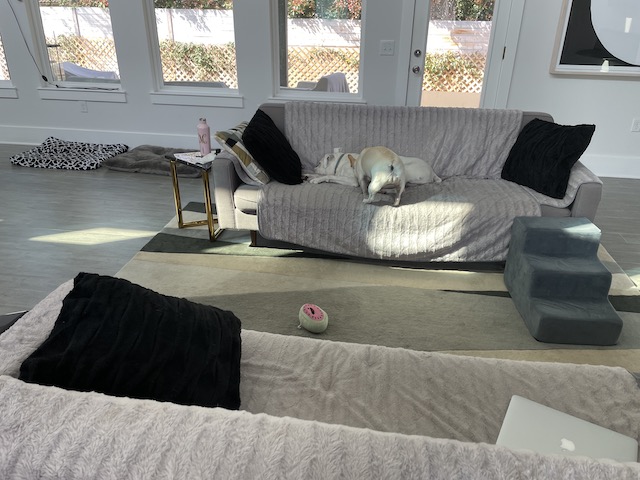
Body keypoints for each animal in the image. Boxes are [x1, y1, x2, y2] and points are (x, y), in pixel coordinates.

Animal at [309, 146, 441, 207]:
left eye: (319, 163)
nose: (314, 167)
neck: (341, 161)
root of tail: (433, 172)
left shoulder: (352, 180)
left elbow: (331, 176)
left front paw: (317, 179)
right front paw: (309, 175)